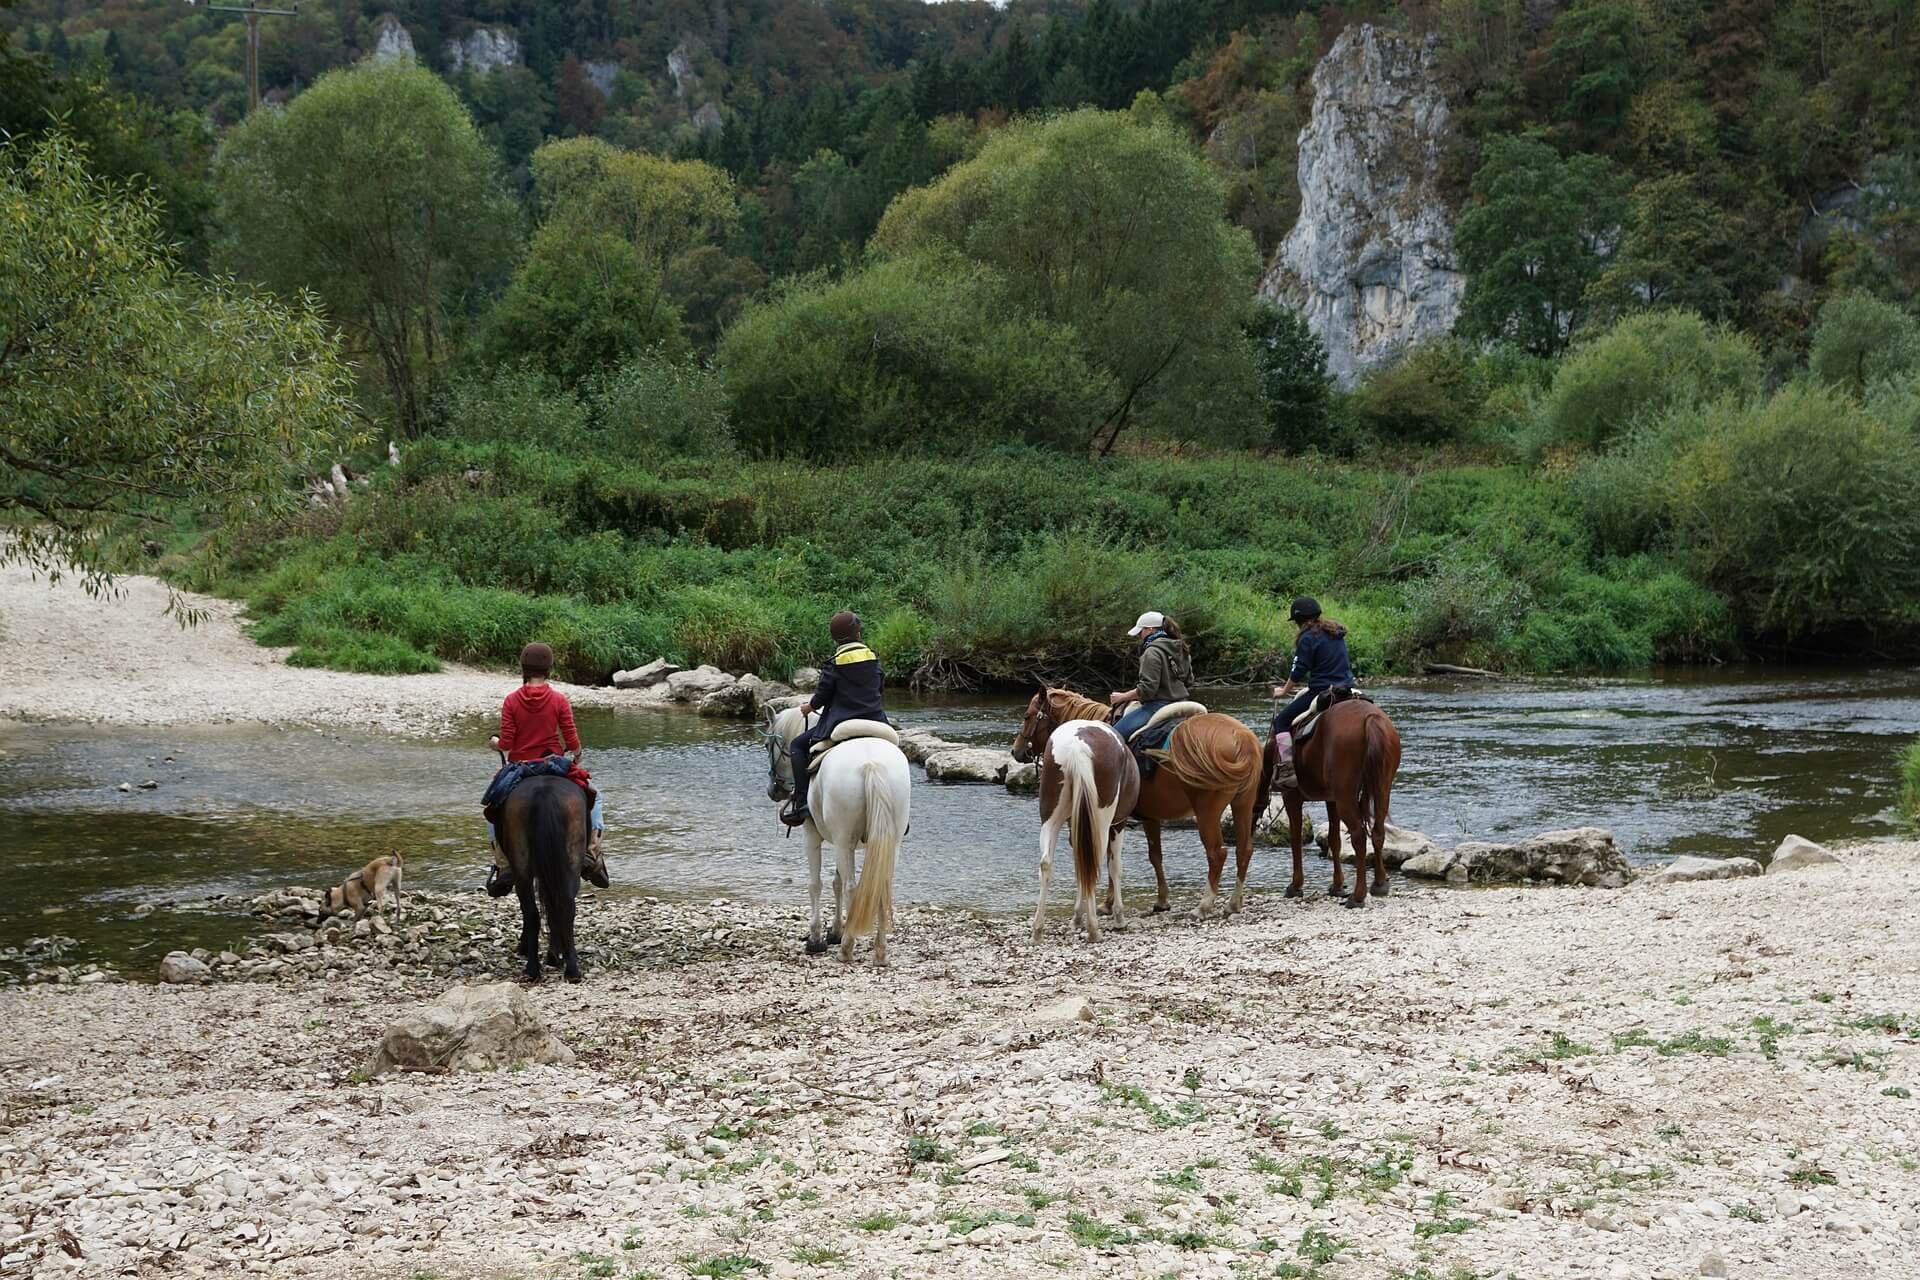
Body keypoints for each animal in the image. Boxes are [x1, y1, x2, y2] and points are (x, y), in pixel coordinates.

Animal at [495, 771, 583, 990]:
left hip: (523, 868)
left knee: (533, 912)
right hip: (569, 863)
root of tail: (544, 792)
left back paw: (534, 968)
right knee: (564, 907)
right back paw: (570, 970)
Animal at [760, 706, 910, 967]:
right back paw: (880, 952)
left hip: (842, 842)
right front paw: (835, 931)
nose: (774, 791)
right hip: (890, 843)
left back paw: (847, 948)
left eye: (769, 746)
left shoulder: (812, 835)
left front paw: (816, 938)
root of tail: (871, 763)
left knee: (852, 887)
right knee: (880, 888)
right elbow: (836, 882)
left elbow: (816, 884)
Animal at [1013, 690, 1267, 921]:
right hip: (1242, 804)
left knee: (1217, 853)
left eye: (1027, 716)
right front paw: (1162, 900)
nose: (1016, 751)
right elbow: (1155, 856)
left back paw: (1203, 907)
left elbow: (1110, 859)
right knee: (1244, 849)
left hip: (1207, 812)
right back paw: (1233, 903)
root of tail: (1241, 739)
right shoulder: (1150, 818)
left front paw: (1107, 904)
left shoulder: (1113, 820)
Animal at [1251, 694, 1405, 905]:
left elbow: (1295, 838)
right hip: (1381, 789)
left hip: (1346, 796)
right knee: (1378, 832)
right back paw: (1379, 885)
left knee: (1359, 836)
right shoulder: (1331, 800)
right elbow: (1334, 839)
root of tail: (1370, 719)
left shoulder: (1291, 797)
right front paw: (1337, 886)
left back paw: (1357, 896)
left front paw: (1295, 886)